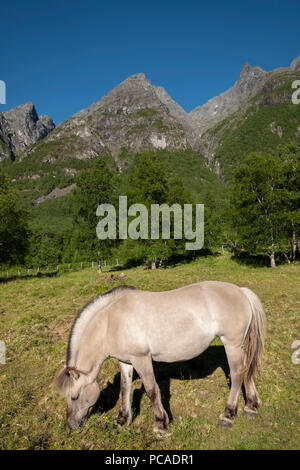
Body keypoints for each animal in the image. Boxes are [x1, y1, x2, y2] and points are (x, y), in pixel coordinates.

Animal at [57, 282, 266, 434]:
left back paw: (228, 415)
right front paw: (123, 420)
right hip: (238, 347)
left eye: (74, 396)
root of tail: (241, 291)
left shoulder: (142, 359)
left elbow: (151, 390)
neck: (111, 321)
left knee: (237, 373)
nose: (71, 426)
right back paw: (251, 406)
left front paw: (160, 425)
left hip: (231, 344)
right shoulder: (125, 361)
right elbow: (125, 388)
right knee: (247, 368)